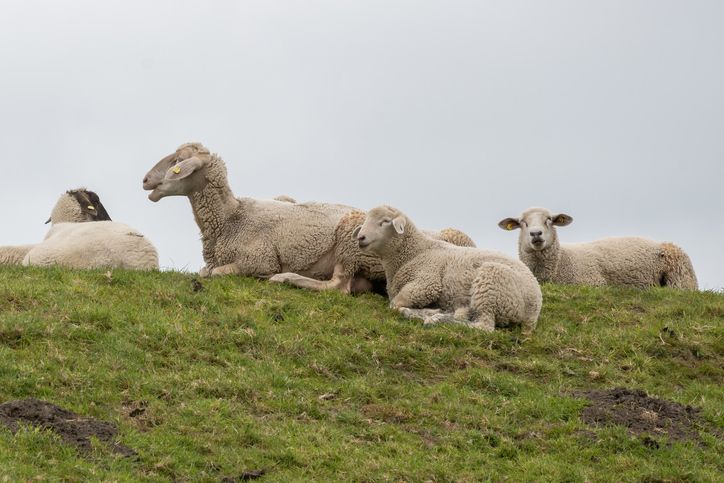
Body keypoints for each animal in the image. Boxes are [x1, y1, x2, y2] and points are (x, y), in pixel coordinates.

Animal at [142, 142, 476, 294]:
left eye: (176, 161)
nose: (145, 180)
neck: (232, 218)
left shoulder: (259, 259)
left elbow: (210, 273)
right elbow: (205, 270)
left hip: (351, 240)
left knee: (338, 286)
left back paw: (287, 278)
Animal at [353, 205, 542, 333]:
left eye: (385, 221)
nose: (361, 237)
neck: (414, 252)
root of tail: (534, 307)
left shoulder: (426, 284)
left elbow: (395, 305)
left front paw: (424, 313)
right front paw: (428, 311)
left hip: (491, 286)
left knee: (485, 326)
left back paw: (439, 319)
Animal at [498, 207, 698, 290]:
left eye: (549, 220)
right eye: (523, 223)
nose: (536, 234)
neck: (562, 261)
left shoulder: (593, 283)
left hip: (680, 278)